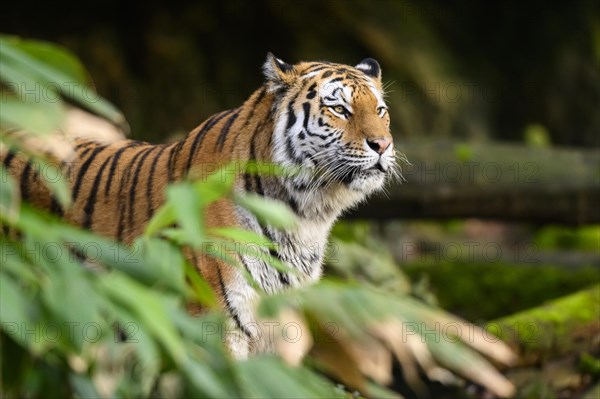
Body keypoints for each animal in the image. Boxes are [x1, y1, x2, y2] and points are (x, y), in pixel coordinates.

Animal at [1, 54, 398, 360]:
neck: (305, 213)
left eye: (380, 110)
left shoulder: (279, 331)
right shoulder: (215, 323)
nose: (382, 144)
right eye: (340, 109)